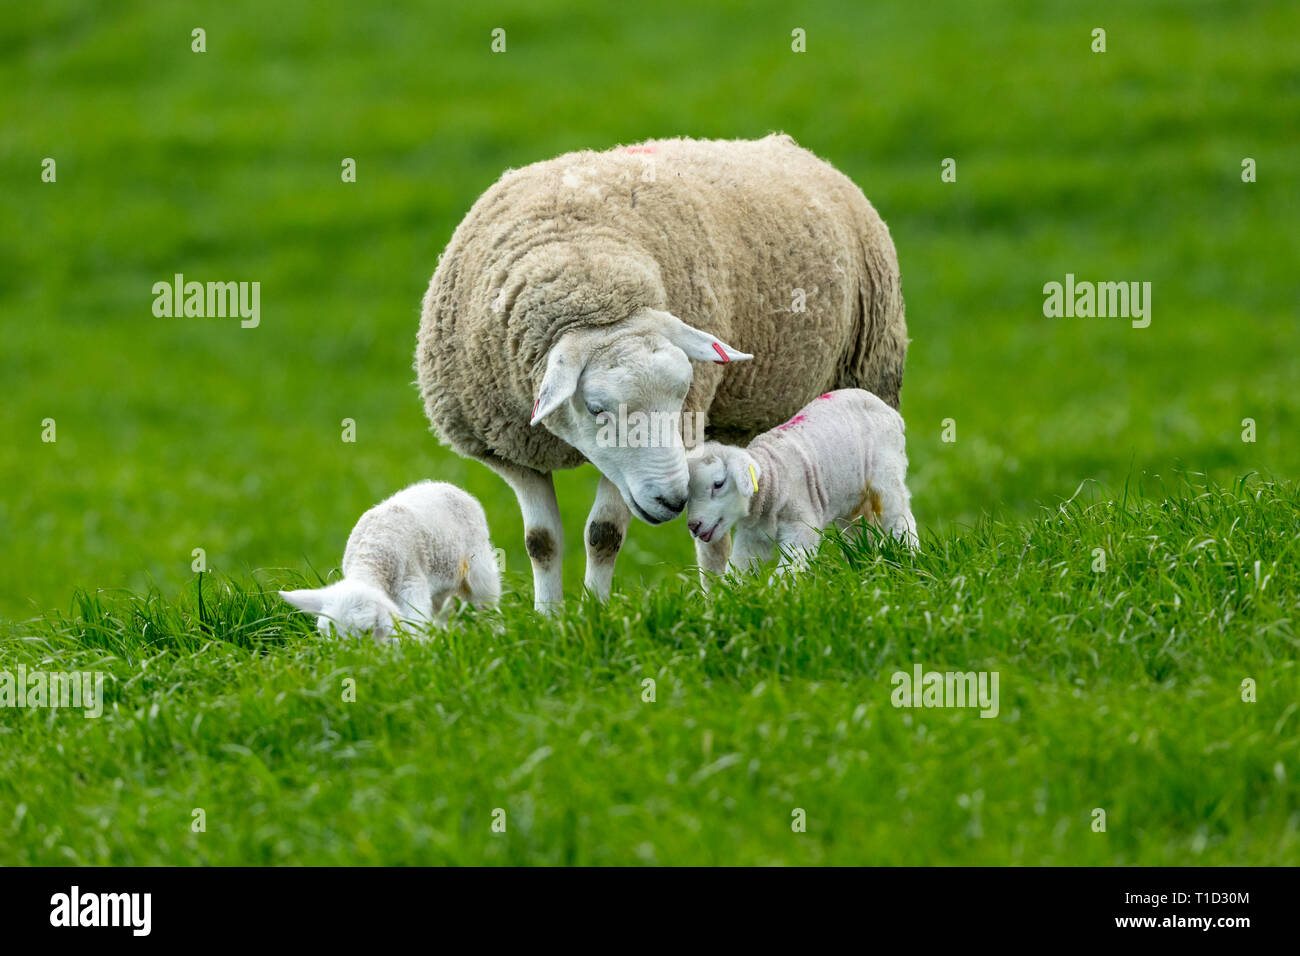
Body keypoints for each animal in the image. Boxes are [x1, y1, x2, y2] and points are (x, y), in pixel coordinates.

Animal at [279, 478, 496, 642]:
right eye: (327, 633)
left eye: (367, 631)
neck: (371, 557)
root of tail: (445, 485)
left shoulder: (412, 581)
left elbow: (413, 621)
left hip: (479, 568)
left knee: (486, 601)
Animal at [686, 385, 920, 580]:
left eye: (718, 484)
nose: (693, 525)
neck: (773, 477)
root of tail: (889, 411)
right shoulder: (752, 538)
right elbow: (739, 569)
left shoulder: (801, 527)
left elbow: (787, 571)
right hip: (851, 497)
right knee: (859, 530)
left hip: (887, 474)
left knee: (901, 518)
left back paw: (910, 559)